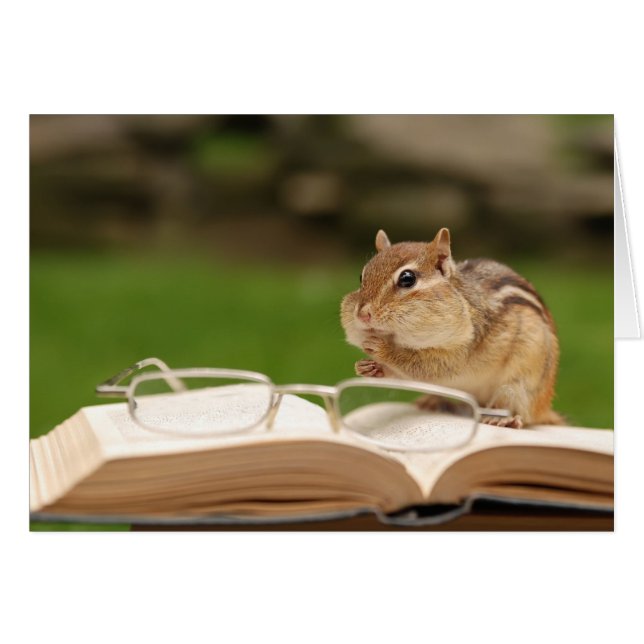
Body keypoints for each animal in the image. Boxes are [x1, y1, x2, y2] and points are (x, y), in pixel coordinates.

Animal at [340, 228, 564, 428]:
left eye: (407, 279)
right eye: (361, 277)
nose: (363, 315)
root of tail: (544, 407)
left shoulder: (463, 348)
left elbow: (424, 365)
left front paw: (383, 349)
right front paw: (368, 367)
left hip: (520, 384)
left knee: (522, 412)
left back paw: (503, 418)